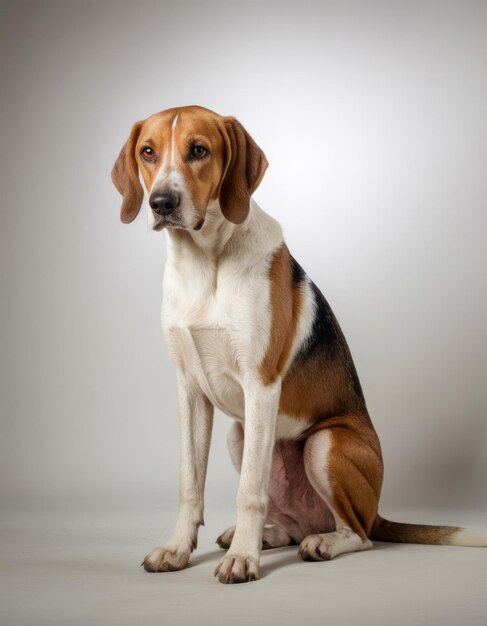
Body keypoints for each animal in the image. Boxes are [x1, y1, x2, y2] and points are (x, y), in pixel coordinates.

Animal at [112, 106, 486, 580]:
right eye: (148, 152)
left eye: (199, 150)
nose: (162, 202)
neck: (203, 262)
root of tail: (376, 510)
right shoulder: (190, 391)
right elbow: (189, 484)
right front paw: (179, 549)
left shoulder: (260, 386)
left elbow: (249, 492)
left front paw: (243, 560)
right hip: (239, 436)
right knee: (293, 524)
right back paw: (268, 535)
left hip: (324, 445)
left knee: (359, 534)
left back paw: (320, 542)